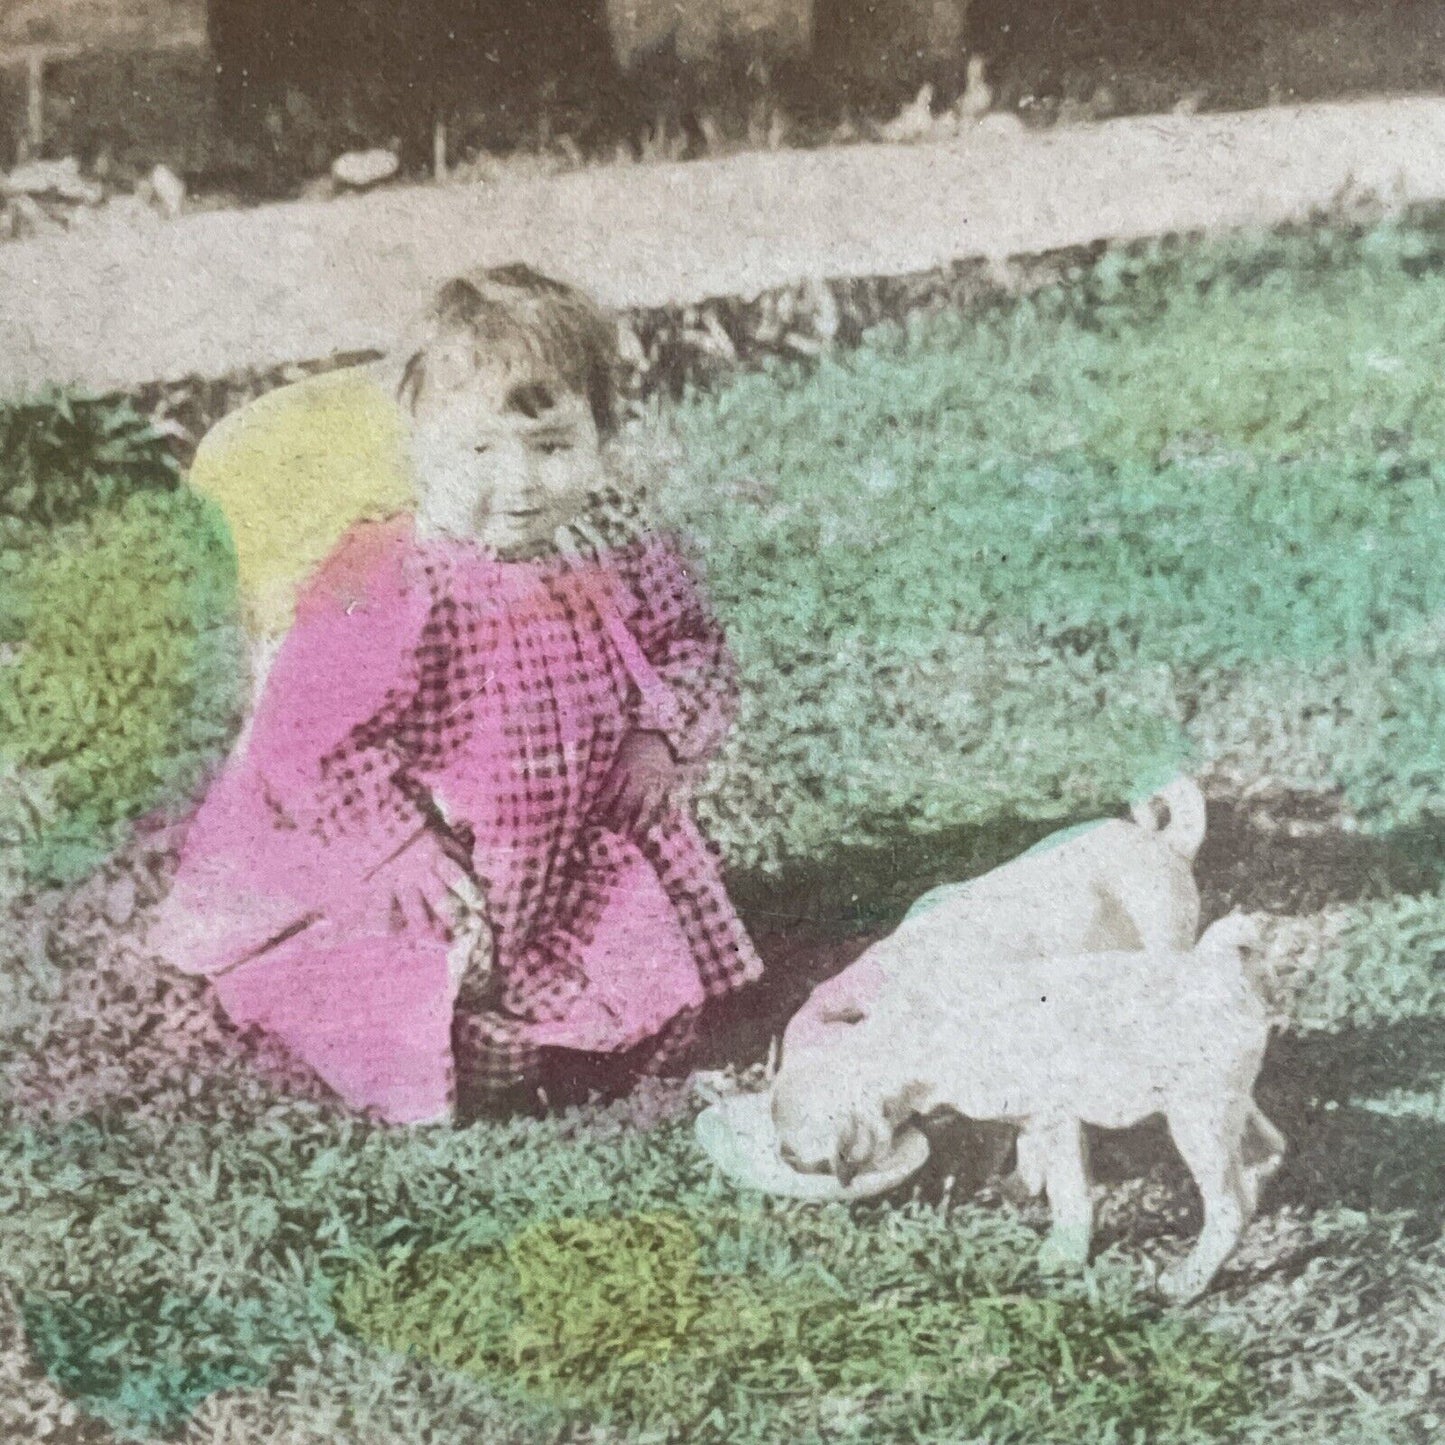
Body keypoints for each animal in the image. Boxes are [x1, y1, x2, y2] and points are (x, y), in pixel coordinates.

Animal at [774, 919, 1283, 1306]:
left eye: (799, 1155)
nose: (783, 1157)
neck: (901, 1045)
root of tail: (1219, 973)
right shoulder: (1036, 1117)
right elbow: (1028, 1150)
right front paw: (1019, 1187)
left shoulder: (1055, 1119)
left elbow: (1067, 1192)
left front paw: (1065, 1251)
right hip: (1225, 1106)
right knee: (1266, 1150)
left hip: (1195, 1120)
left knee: (1228, 1208)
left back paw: (1190, 1279)